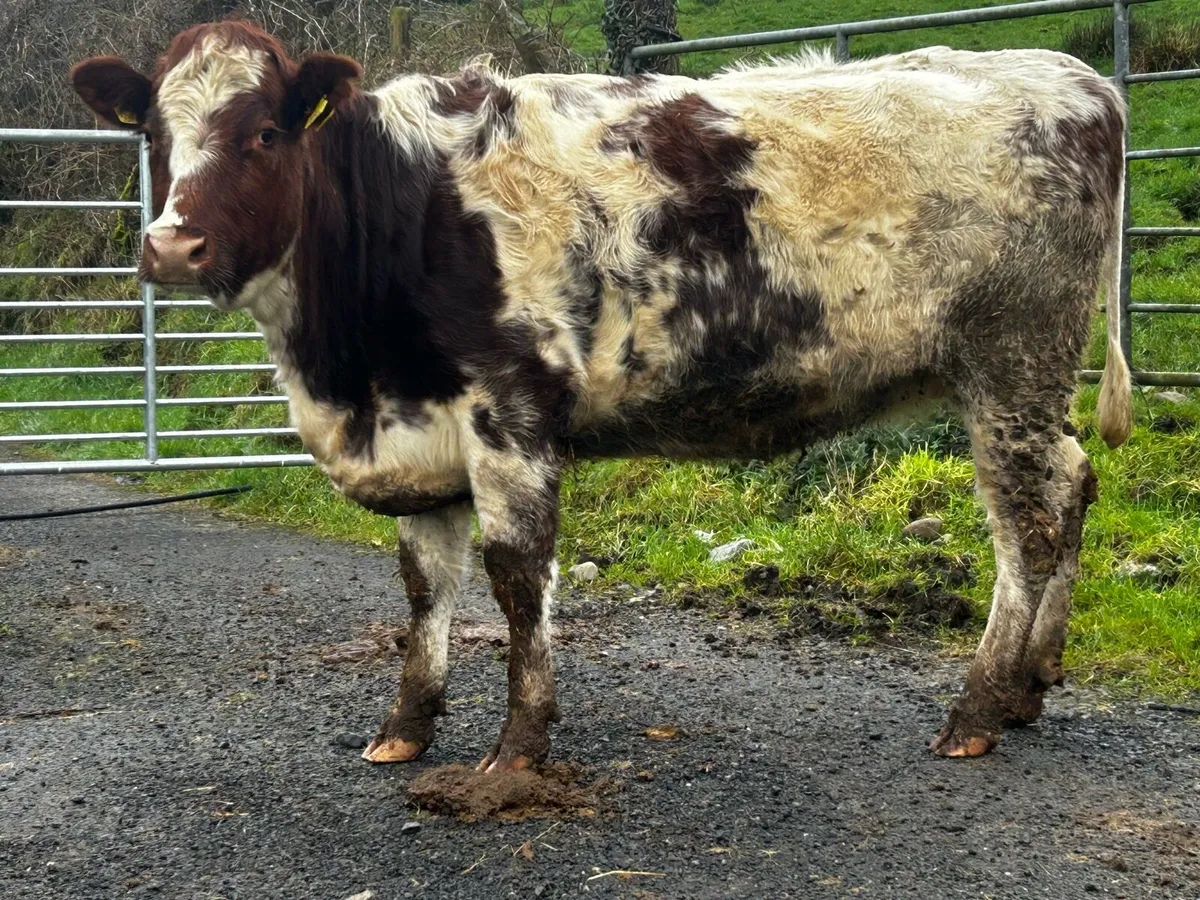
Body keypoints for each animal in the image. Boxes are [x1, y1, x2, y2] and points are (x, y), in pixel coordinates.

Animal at [71, 21, 1132, 773]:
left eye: (261, 132)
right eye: (155, 137)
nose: (171, 246)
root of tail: (1074, 77)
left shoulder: (511, 409)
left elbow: (515, 576)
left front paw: (518, 747)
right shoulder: (420, 433)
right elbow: (425, 586)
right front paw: (406, 724)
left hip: (1011, 361)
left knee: (1026, 527)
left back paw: (979, 708)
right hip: (1027, 385)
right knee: (1073, 482)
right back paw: (1032, 684)